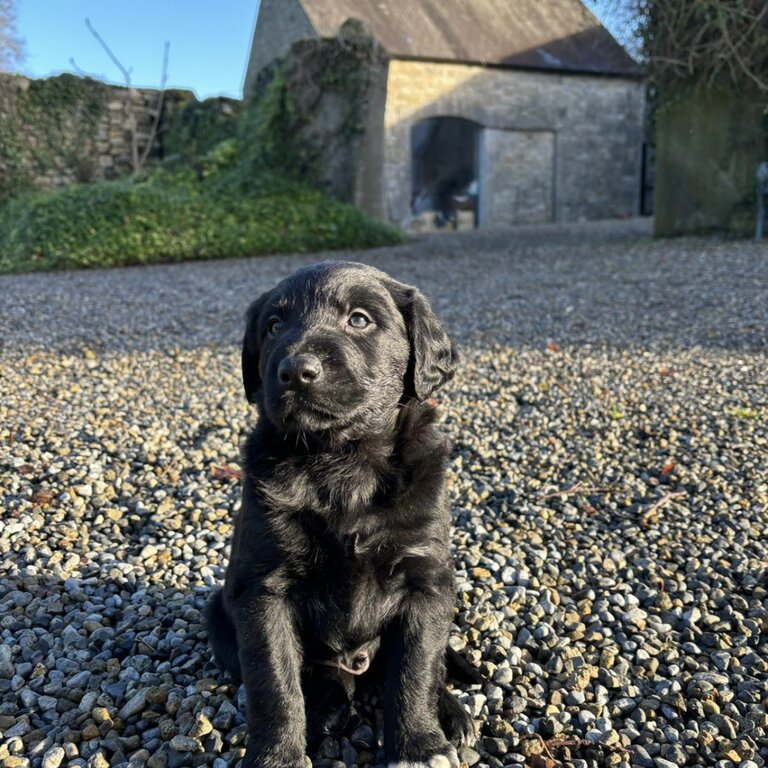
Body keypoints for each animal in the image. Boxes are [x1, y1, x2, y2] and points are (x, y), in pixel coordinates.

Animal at [207, 260, 476, 764]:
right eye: (274, 326)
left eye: (359, 319)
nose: (295, 370)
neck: (341, 462)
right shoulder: (262, 588)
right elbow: (274, 681)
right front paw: (278, 756)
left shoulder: (427, 578)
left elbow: (416, 667)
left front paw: (419, 744)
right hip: (218, 611)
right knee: (313, 675)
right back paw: (326, 708)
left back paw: (450, 713)